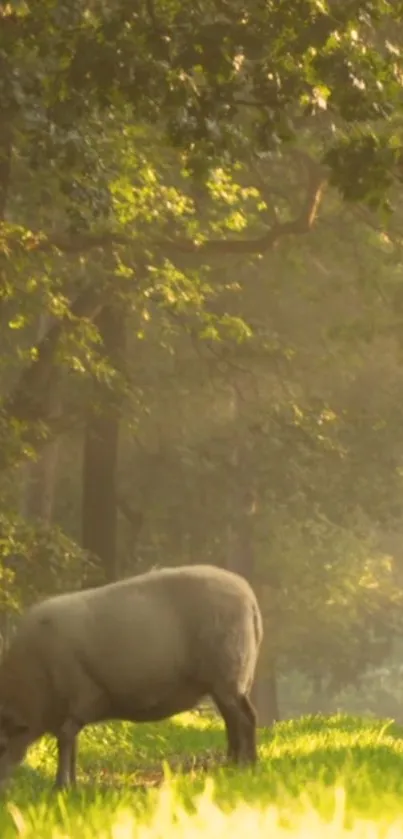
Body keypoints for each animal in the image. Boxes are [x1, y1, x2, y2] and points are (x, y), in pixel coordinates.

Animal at [0, 564, 264, 788]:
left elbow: (65, 740)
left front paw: (62, 786)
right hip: (225, 681)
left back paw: (247, 765)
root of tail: (249, 598)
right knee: (233, 720)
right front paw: (71, 784)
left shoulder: (81, 696)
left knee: (246, 718)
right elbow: (71, 743)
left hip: (229, 672)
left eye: (1, 747)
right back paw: (232, 764)